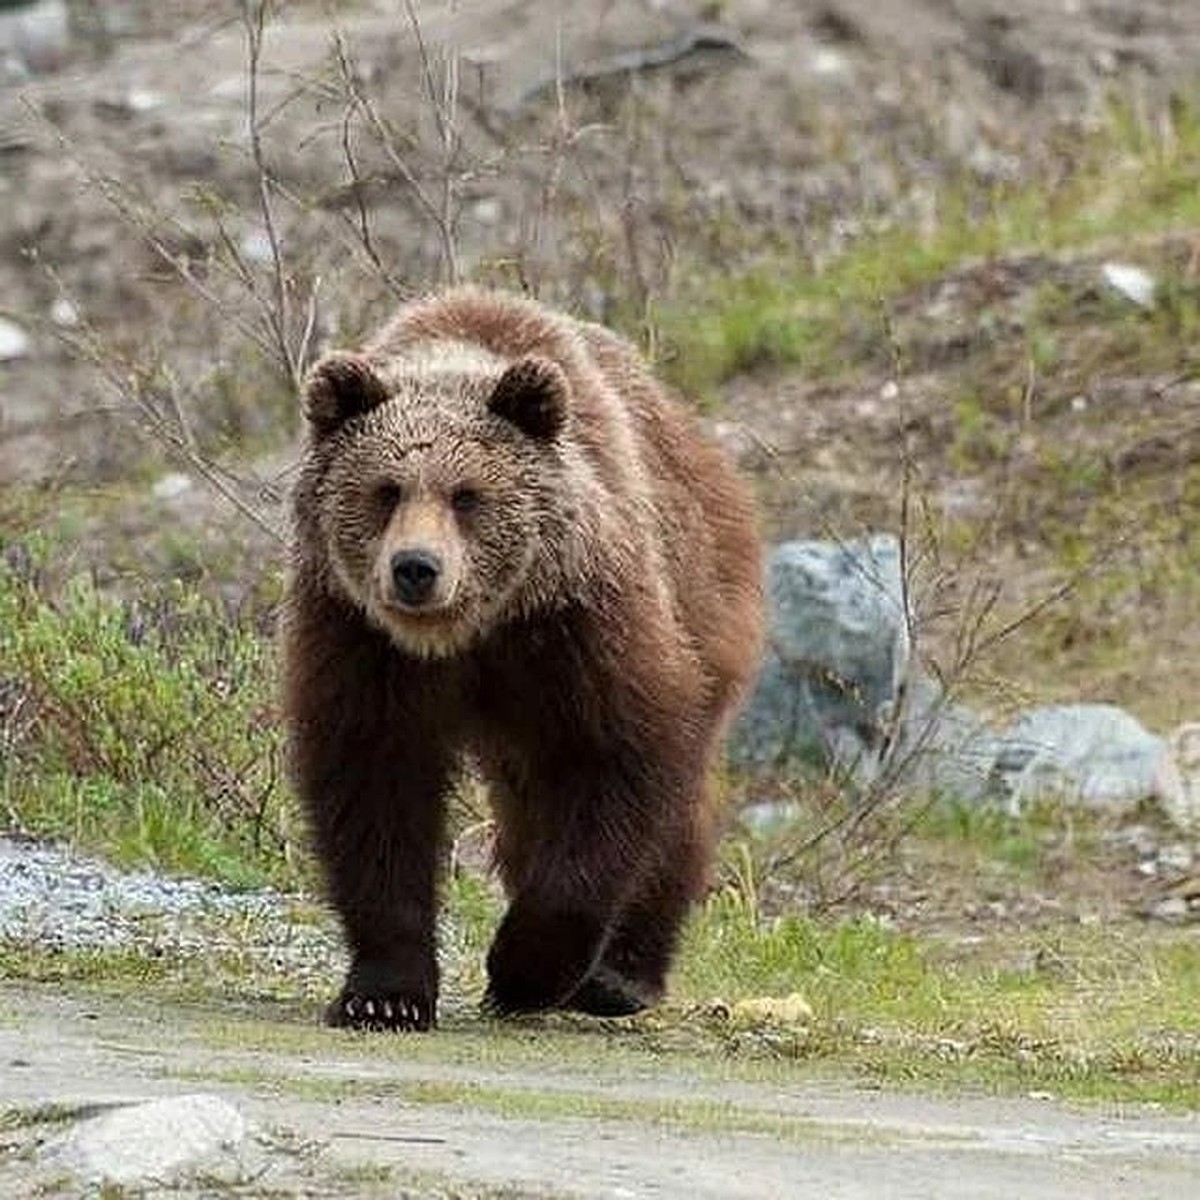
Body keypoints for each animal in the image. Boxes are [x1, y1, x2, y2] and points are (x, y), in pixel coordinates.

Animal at [282, 286, 763, 1031]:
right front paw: (384, 994)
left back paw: (621, 976)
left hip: (705, 604)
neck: (470, 635)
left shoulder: (579, 628)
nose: (415, 568)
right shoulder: (359, 641)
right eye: (387, 489)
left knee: (672, 814)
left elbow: (616, 760)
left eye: (466, 495)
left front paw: (523, 970)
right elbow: (374, 787)